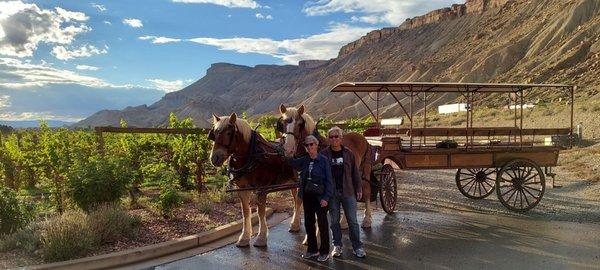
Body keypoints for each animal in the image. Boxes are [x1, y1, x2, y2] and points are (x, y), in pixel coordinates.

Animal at [209, 112, 298, 247]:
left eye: (229, 133)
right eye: (214, 133)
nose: (214, 158)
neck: (252, 155)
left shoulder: (262, 189)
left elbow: (261, 212)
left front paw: (261, 237)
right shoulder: (241, 189)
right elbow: (246, 212)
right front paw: (244, 237)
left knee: (299, 201)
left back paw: (296, 225)